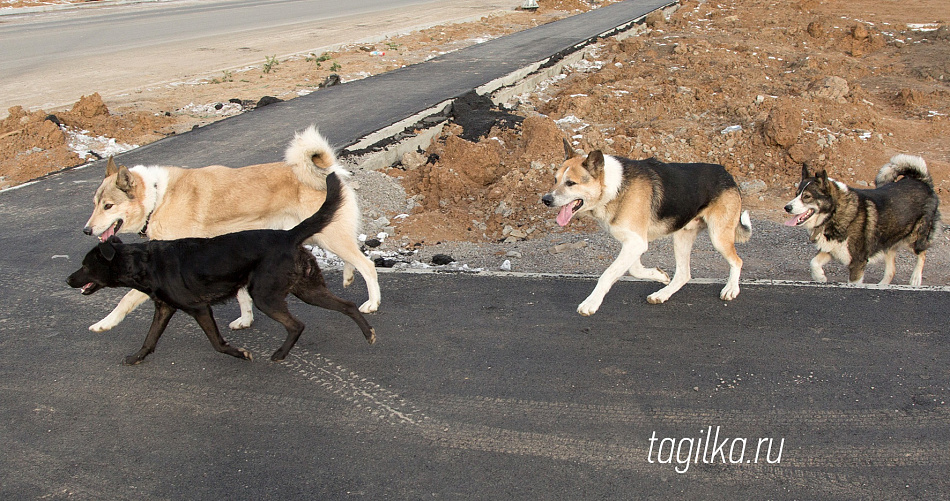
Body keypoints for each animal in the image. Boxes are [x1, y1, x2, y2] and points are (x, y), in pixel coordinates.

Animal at [67, 172, 376, 364]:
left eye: (85, 266)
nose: (68, 280)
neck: (145, 261)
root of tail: (288, 235)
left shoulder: (200, 308)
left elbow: (216, 342)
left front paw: (240, 354)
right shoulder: (164, 309)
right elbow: (149, 339)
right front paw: (135, 358)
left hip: (265, 295)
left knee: (297, 324)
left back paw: (279, 354)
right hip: (307, 288)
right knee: (347, 305)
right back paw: (368, 333)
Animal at [81, 124, 380, 330]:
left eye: (108, 206)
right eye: (94, 204)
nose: (86, 230)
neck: (157, 198)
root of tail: (329, 171)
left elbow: (126, 299)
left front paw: (104, 323)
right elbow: (241, 297)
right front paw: (245, 320)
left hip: (329, 236)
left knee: (367, 264)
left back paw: (372, 303)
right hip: (322, 235)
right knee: (354, 257)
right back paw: (348, 277)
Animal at [544, 141, 752, 314]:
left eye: (571, 183)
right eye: (555, 180)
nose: (545, 200)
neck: (614, 187)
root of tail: (726, 173)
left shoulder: (635, 243)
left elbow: (607, 274)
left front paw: (591, 303)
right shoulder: (634, 242)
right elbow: (635, 269)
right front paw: (658, 275)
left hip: (718, 236)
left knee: (737, 261)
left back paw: (731, 289)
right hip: (682, 237)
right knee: (683, 274)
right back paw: (662, 294)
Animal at [784, 152, 940, 286]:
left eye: (807, 196)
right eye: (796, 194)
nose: (787, 207)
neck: (835, 213)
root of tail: (921, 181)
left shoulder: (857, 263)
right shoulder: (832, 250)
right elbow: (813, 262)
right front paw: (820, 277)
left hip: (914, 239)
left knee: (922, 253)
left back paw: (915, 278)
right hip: (888, 241)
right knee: (891, 270)